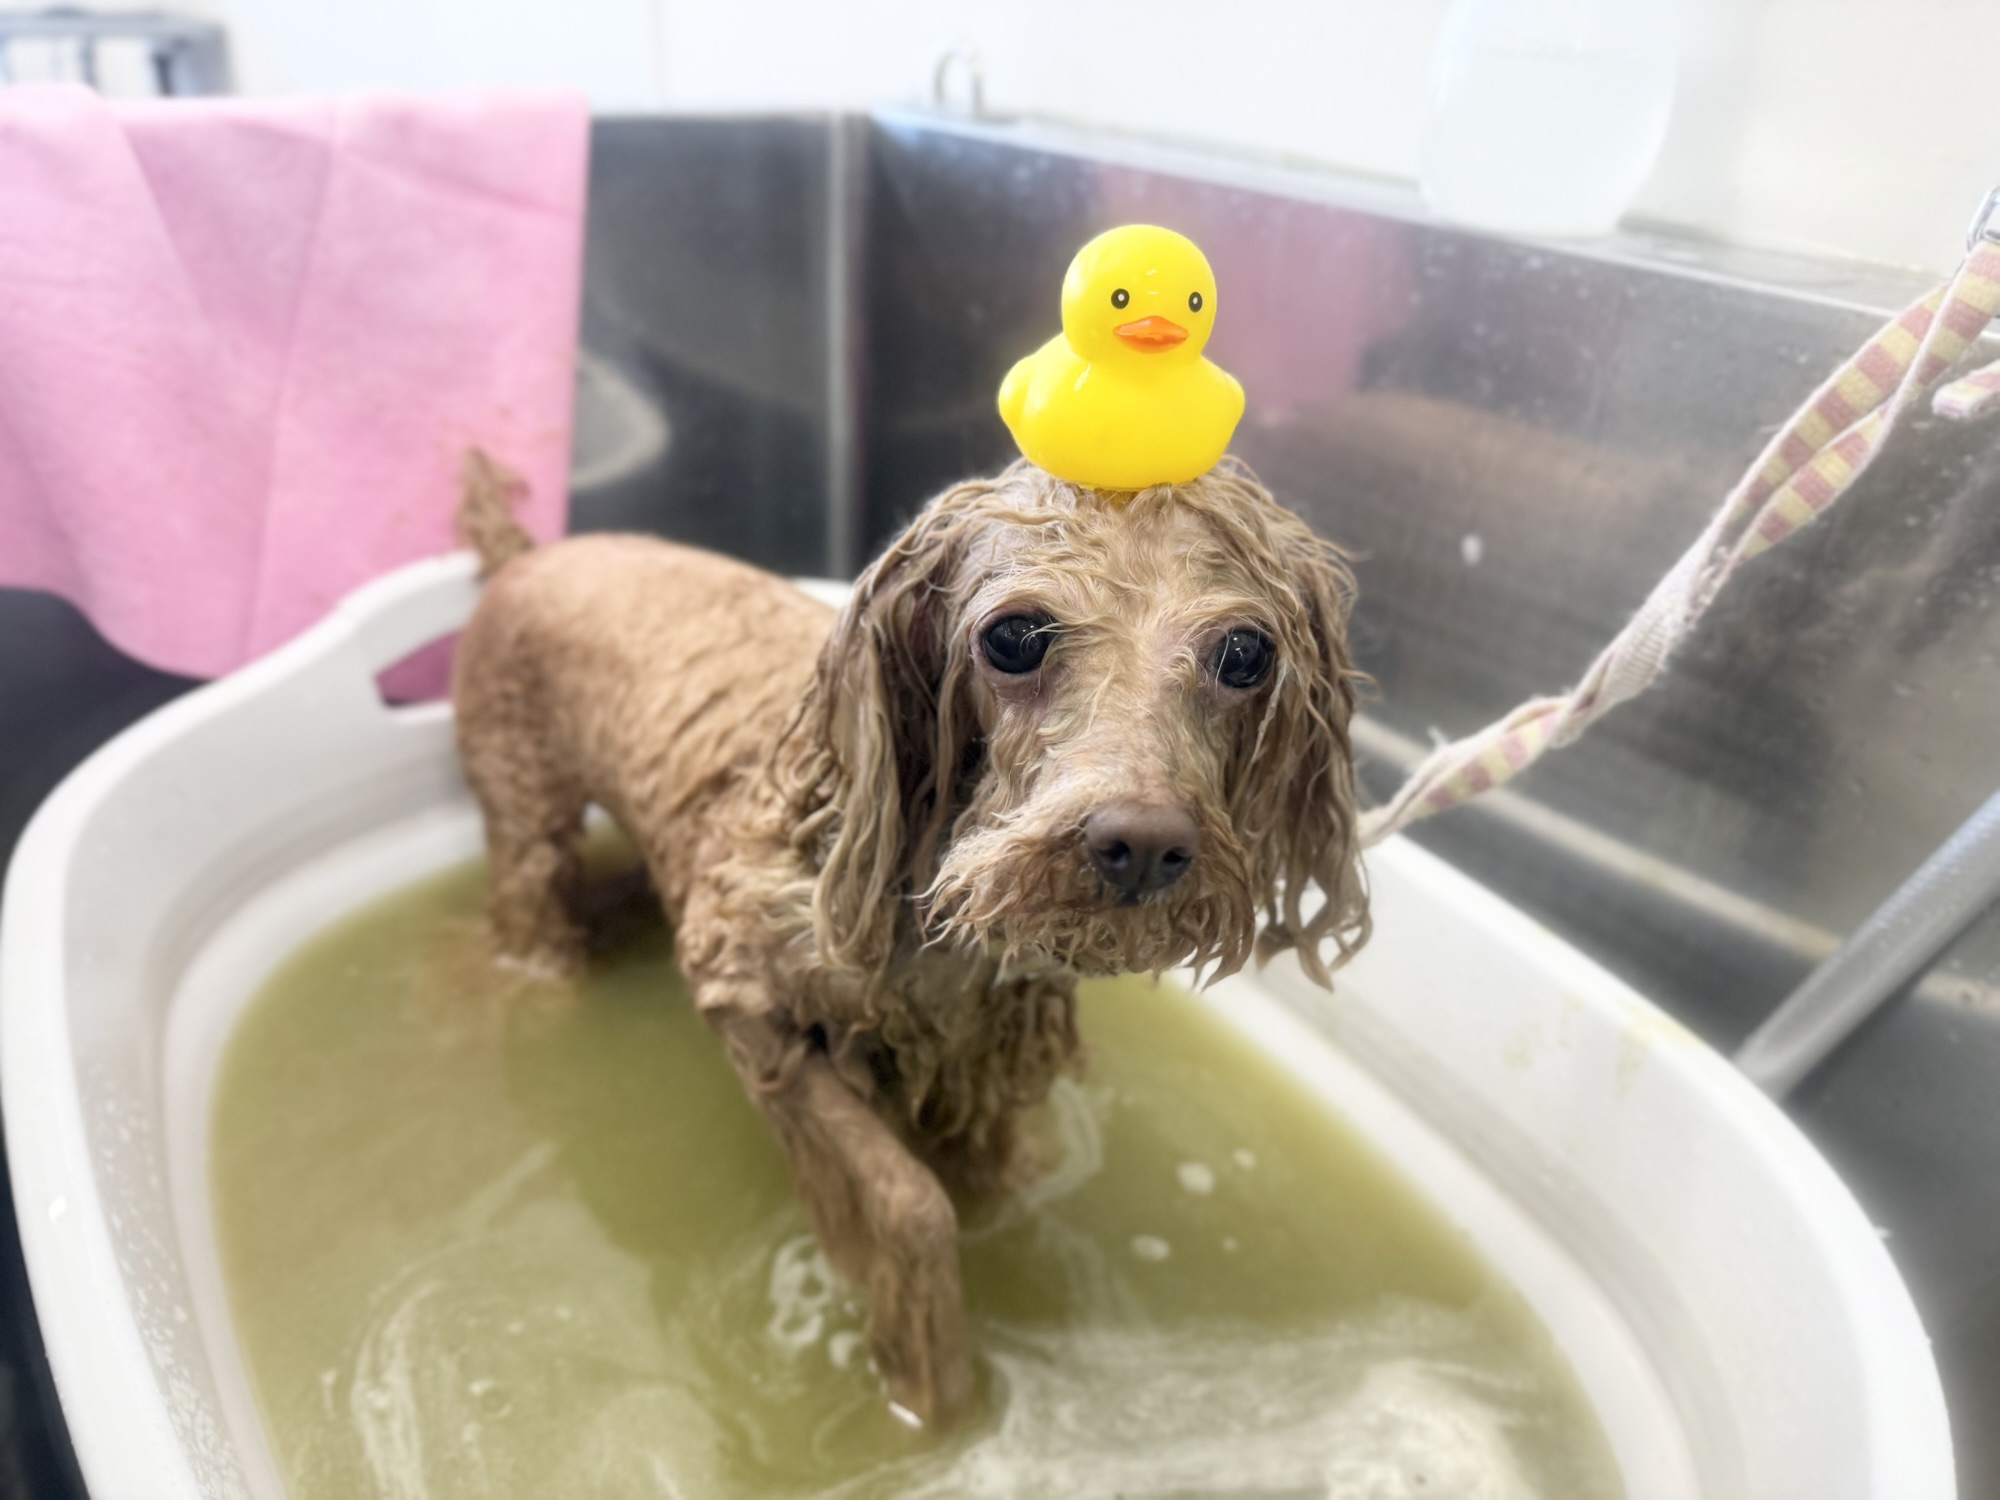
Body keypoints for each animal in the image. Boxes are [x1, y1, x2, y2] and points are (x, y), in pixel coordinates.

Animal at [450, 451, 1369, 1424]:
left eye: (1247, 654)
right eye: (1014, 637)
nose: (1144, 844)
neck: (934, 928)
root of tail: (530, 555)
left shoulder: (980, 1058)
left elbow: (998, 1179)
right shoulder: (743, 999)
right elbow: (912, 1204)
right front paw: (928, 1383)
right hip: (524, 822)